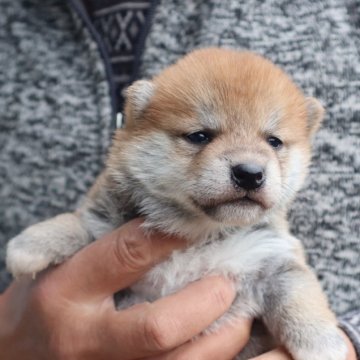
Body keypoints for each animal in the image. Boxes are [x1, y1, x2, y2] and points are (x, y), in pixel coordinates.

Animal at [6, 48, 348, 360]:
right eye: (200, 136)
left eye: (273, 141)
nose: (250, 173)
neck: (199, 232)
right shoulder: (104, 223)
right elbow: (78, 223)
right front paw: (31, 243)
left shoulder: (272, 255)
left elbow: (300, 296)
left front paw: (323, 344)